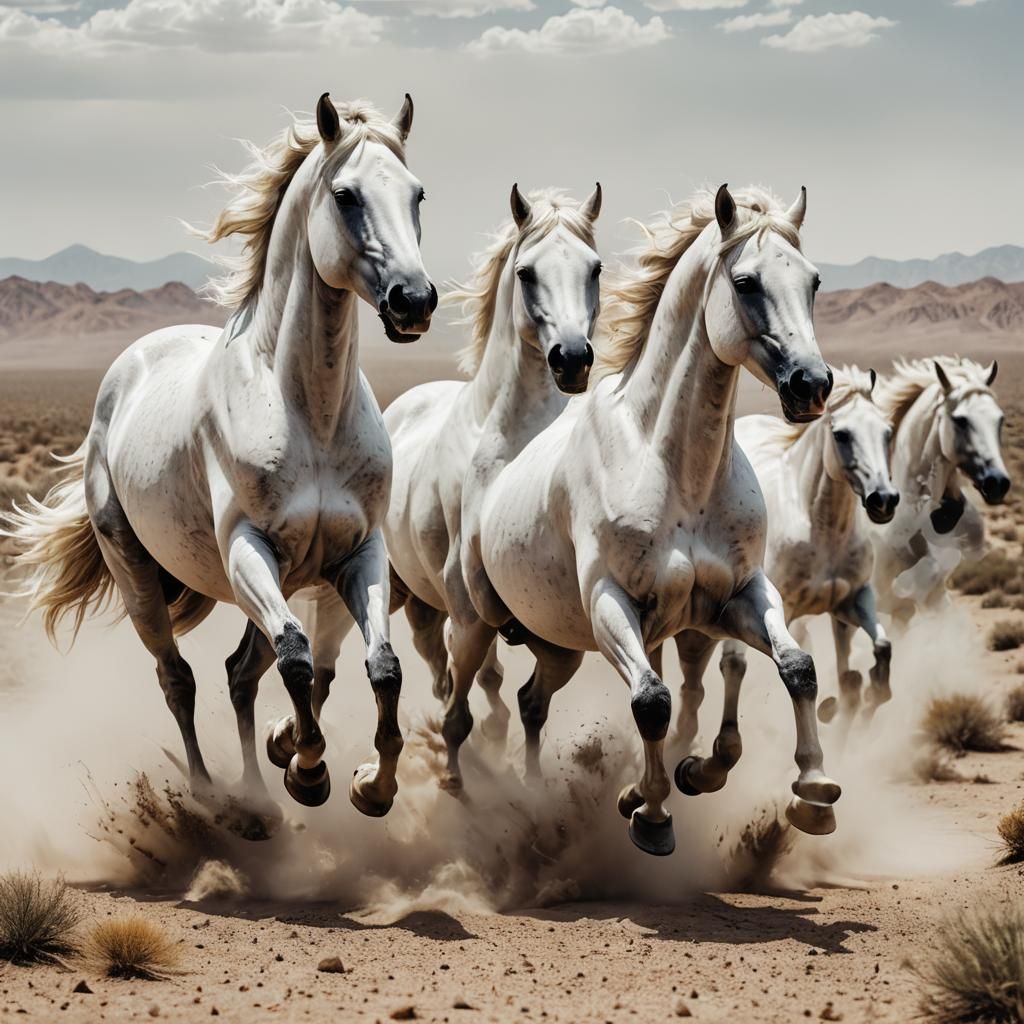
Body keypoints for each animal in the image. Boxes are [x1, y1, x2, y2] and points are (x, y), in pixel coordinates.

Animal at [3, 93, 436, 826]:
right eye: (345, 195)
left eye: (417, 194)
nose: (415, 301)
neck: (308, 412)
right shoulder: (247, 549)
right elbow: (295, 660)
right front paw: (310, 771)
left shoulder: (358, 553)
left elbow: (382, 665)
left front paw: (368, 786)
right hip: (141, 572)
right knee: (180, 677)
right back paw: (219, 798)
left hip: (274, 577)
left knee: (240, 674)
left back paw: (259, 786)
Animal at [384, 184, 602, 789]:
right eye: (526, 272)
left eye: (595, 268)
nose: (572, 359)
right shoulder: (466, 603)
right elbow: (466, 695)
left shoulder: (547, 631)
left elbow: (523, 699)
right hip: (408, 594)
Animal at [463, 184, 842, 857]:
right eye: (745, 281)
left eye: (814, 280)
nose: (811, 385)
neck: (675, 470)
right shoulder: (611, 602)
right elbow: (652, 703)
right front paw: (653, 815)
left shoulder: (738, 596)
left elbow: (796, 668)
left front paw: (811, 791)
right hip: (476, 622)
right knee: (451, 701)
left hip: (558, 644)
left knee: (532, 701)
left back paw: (536, 791)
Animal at [655, 367, 899, 774]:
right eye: (842, 434)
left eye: (887, 432)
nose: (884, 500)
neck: (821, 528)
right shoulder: (767, 609)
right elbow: (736, 666)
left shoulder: (851, 599)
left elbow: (879, 651)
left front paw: (865, 704)